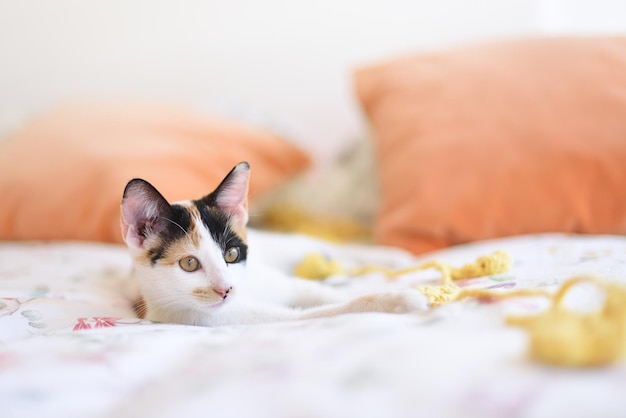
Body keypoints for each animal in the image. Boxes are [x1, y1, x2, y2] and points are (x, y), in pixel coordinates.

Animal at [119, 161, 426, 326]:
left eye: (232, 254)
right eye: (189, 263)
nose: (226, 289)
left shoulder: (277, 280)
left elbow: (320, 292)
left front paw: (402, 288)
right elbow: (324, 311)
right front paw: (398, 300)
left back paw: (394, 258)